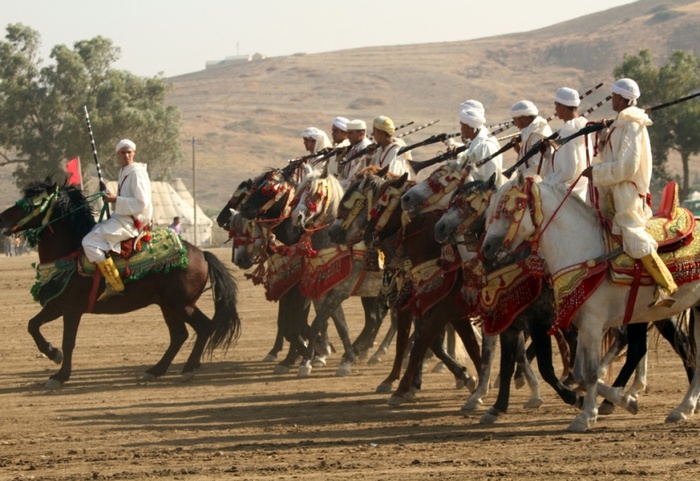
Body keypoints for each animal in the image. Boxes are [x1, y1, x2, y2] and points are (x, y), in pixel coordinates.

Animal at [0, 178, 241, 388]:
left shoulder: (71, 310)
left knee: (203, 326)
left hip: (181, 304)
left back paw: (188, 369)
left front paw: (60, 375)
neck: (70, 254)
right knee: (179, 335)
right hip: (168, 305)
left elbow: (68, 342)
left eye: (31, 203)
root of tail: (202, 254)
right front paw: (52, 353)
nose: (2, 218)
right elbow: (32, 325)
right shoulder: (55, 306)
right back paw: (155, 370)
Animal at [482, 172, 700, 432]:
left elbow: (590, 371)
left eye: (508, 209)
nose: (487, 248)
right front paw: (623, 401)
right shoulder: (580, 324)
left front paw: (586, 415)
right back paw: (683, 408)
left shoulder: (587, 325)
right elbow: (578, 372)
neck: (583, 251)